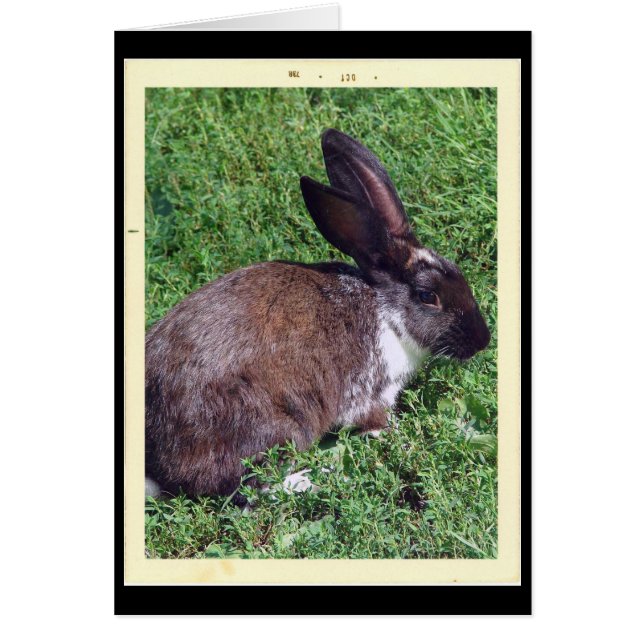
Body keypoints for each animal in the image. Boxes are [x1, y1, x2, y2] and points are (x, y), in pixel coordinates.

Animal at [145, 128, 490, 500]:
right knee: (247, 486)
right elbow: (374, 421)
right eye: (428, 296)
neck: (385, 308)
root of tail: (161, 467)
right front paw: (398, 435)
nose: (482, 340)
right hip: (277, 426)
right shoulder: (371, 391)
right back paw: (314, 479)